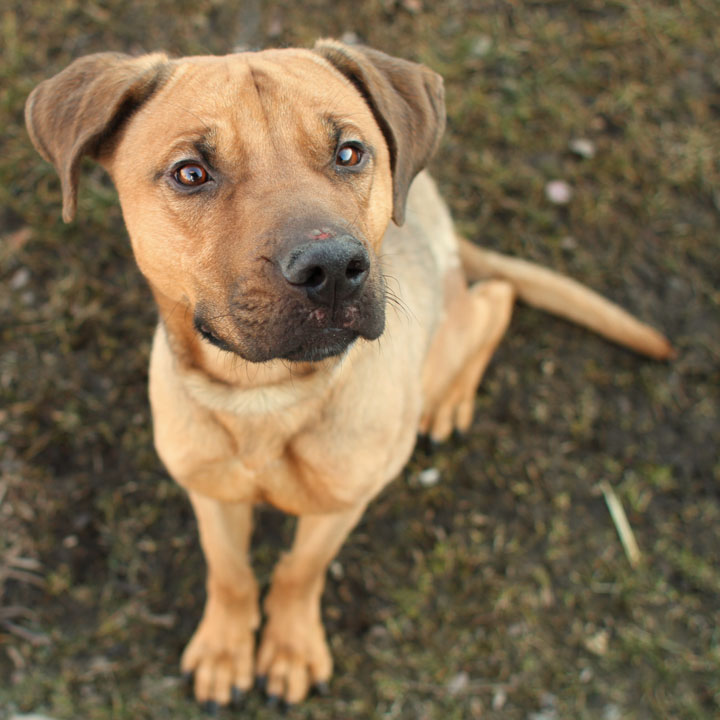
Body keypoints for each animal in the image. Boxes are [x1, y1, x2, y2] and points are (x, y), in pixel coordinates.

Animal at [23, 40, 676, 708]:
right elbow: (230, 572)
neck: (267, 397)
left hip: (445, 337)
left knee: (498, 298)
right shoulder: (209, 491)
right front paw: (226, 648)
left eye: (349, 152)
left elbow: (299, 572)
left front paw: (289, 648)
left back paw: (449, 402)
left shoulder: (344, 502)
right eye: (190, 172)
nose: (333, 267)